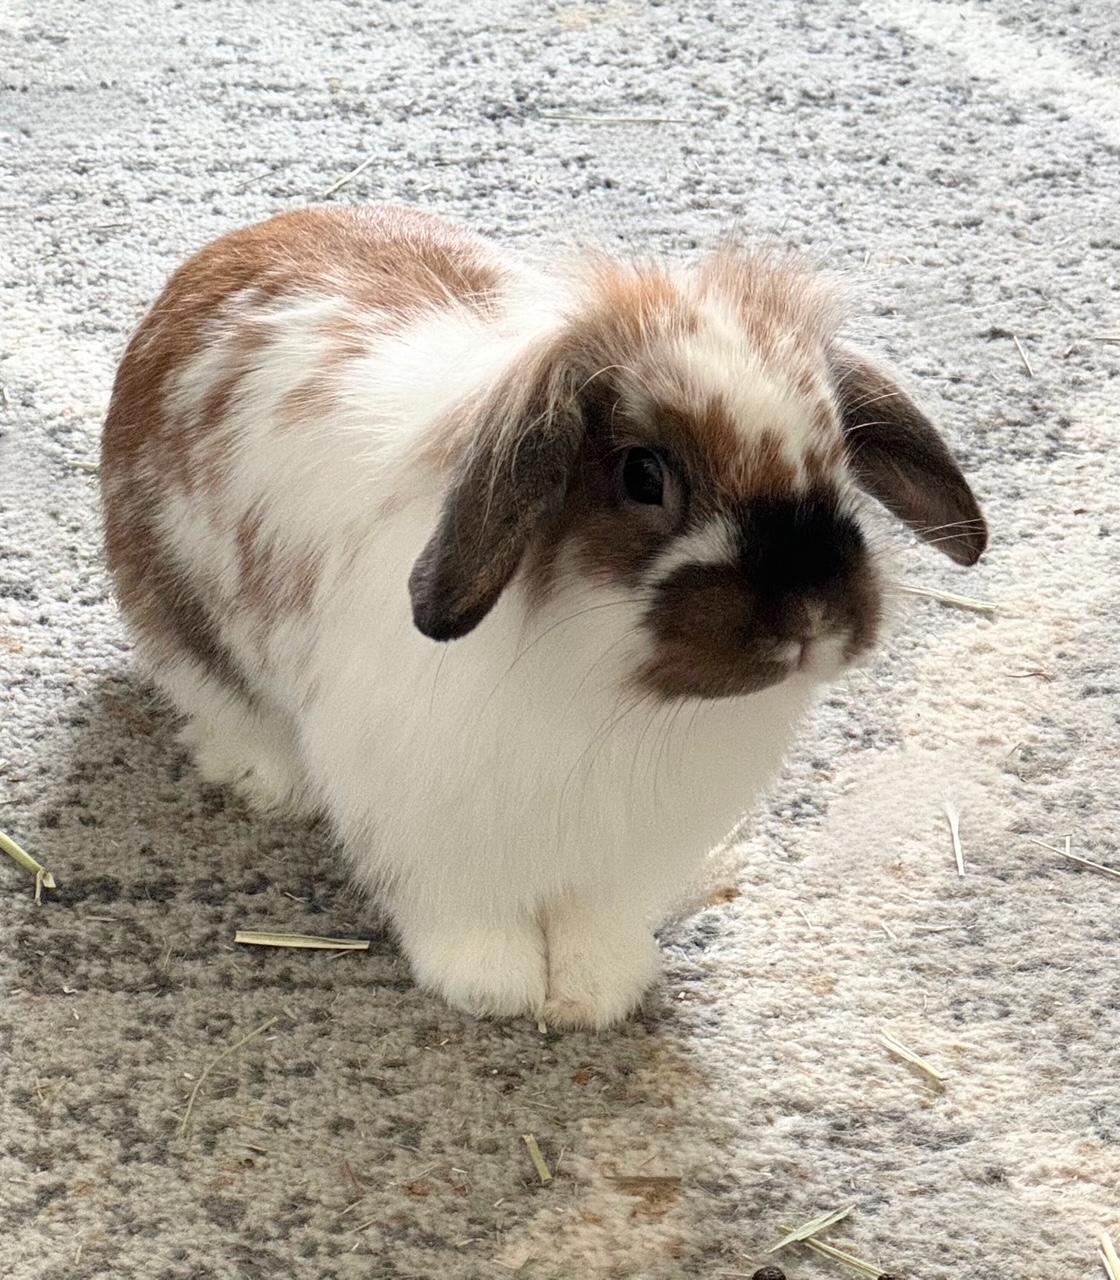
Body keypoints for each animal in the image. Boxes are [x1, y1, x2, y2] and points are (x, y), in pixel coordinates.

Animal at [100, 205, 987, 1029]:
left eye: (837, 453)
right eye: (643, 475)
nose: (809, 618)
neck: (602, 680)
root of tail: (231, 248)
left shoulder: (621, 854)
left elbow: (597, 922)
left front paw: (597, 993)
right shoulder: (429, 820)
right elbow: (466, 912)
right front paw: (491, 987)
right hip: (174, 624)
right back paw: (269, 779)